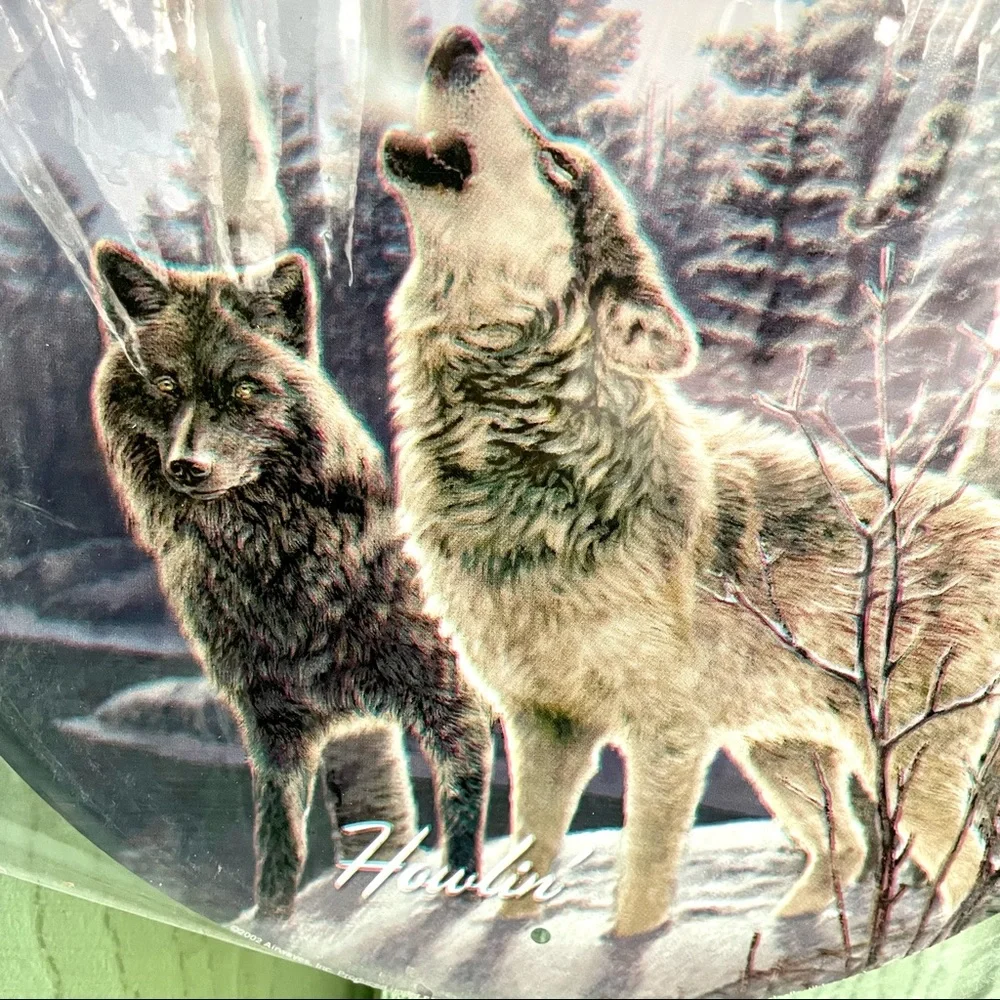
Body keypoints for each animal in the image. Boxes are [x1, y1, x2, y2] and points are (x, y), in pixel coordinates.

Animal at [89, 240, 492, 917]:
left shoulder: (452, 701)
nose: (187, 466)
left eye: (245, 390)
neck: (276, 568)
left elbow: (461, 817)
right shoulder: (272, 724)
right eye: (166, 385)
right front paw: (275, 917)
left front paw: (461, 901)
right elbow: (279, 841)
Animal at [381, 26, 1000, 938]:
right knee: (847, 847)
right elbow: (527, 863)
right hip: (777, 750)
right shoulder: (541, 723)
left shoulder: (664, 734)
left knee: (959, 873)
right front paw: (509, 936)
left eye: (556, 165)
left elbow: (640, 886)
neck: (520, 462)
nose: (462, 36)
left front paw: (622, 949)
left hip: (902, 768)